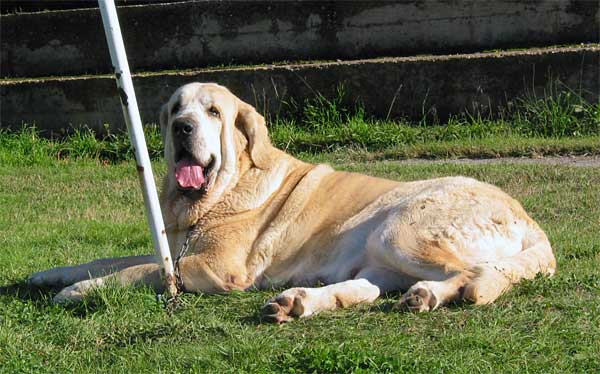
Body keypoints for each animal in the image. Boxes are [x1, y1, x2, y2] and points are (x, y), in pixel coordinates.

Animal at [27, 83, 552, 322]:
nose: (182, 128)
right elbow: (117, 258)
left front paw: (78, 291)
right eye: (176, 109)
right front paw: (52, 274)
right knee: (368, 289)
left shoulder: (212, 269)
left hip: (399, 230)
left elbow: (143, 270)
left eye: (213, 112)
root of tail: (528, 219)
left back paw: (429, 295)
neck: (215, 197)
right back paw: (298, 302)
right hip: (378, 252)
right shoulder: (176, 249)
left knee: (472, 273)